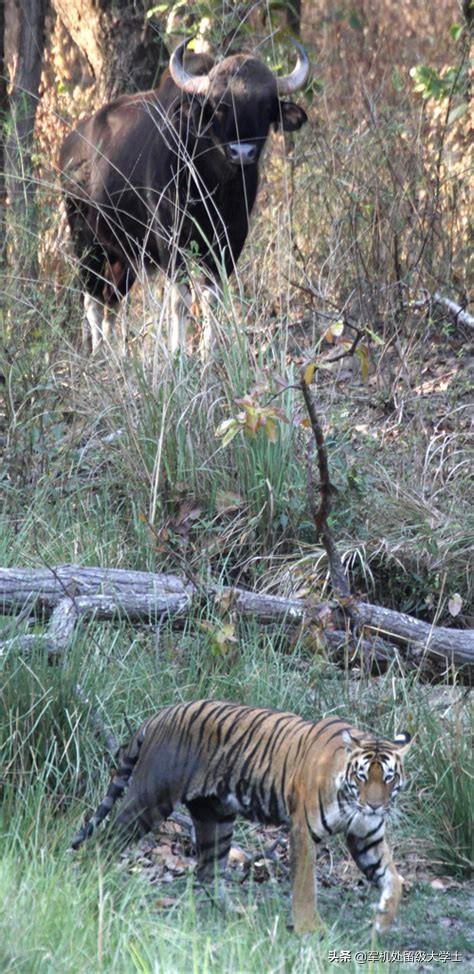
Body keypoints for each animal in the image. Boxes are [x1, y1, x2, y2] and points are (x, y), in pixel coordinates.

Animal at [70, 700, 412, 936]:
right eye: (362, 775)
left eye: (389, 777)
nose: (375, 806)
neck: (350, 799)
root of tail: (159, 715)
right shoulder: (303, 831)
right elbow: (305, 886)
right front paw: (309, 929)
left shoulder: (366, 837)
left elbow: (392, 879)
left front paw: (382, 920)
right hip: (149, 799)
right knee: (104, 842)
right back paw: (95, 885)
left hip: (216, 818)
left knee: (208, 873)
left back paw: (239, 915)